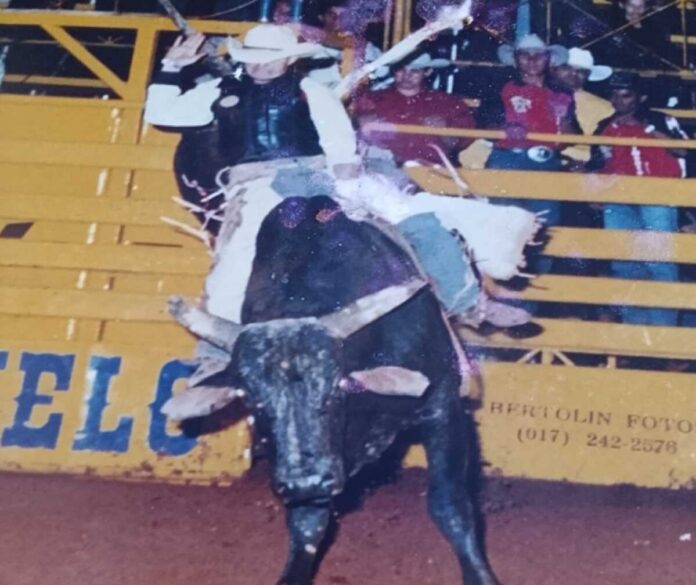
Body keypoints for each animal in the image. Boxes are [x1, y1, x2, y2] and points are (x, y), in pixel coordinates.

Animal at [168, 197, 498, 584]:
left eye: (336, 388)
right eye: (252, 400)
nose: (305, 482)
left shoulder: (441, 406)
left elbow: (450, 507)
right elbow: (308, 526)